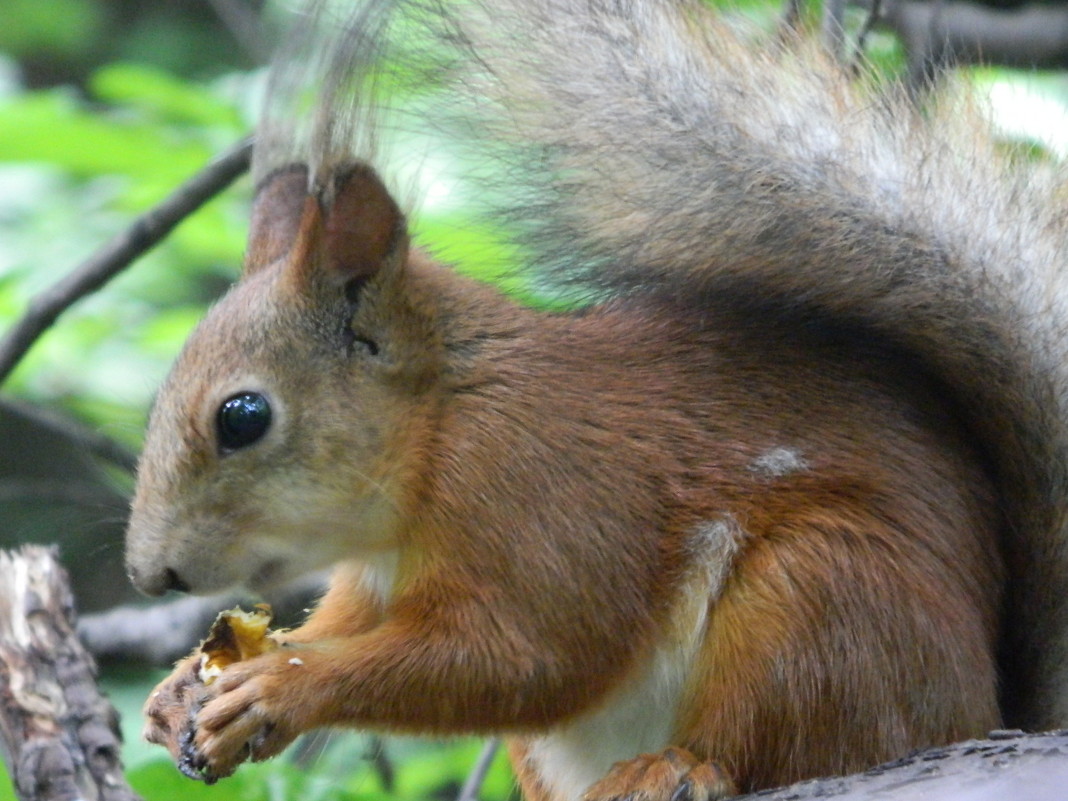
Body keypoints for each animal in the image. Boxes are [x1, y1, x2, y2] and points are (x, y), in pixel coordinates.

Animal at [121, 0, 1068, 798]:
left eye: (243, 417)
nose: (149, 573)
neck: (438, 435)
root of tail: (983, 701)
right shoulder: (377, 580)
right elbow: (353, 624)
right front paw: (180, 690)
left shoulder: (547, 496)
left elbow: (528, 657)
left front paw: (282, 685)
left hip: (823, 598)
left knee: (772, 736)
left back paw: (675, 767)